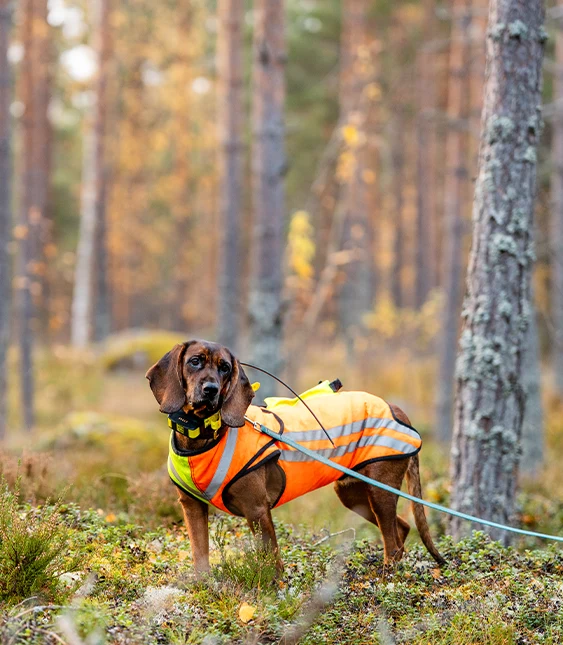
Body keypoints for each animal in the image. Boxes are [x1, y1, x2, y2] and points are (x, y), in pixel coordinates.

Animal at [148, 340, 448, 572]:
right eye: (195, 361)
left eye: (225, 367)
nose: (210, 390)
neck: (204, 436)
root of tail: (396, 408)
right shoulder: (192, 506)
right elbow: (200, 555)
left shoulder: (257, 510)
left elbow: (271, 562)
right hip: (354, 494)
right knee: (402, 529)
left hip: (379, 492)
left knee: (392, 544)